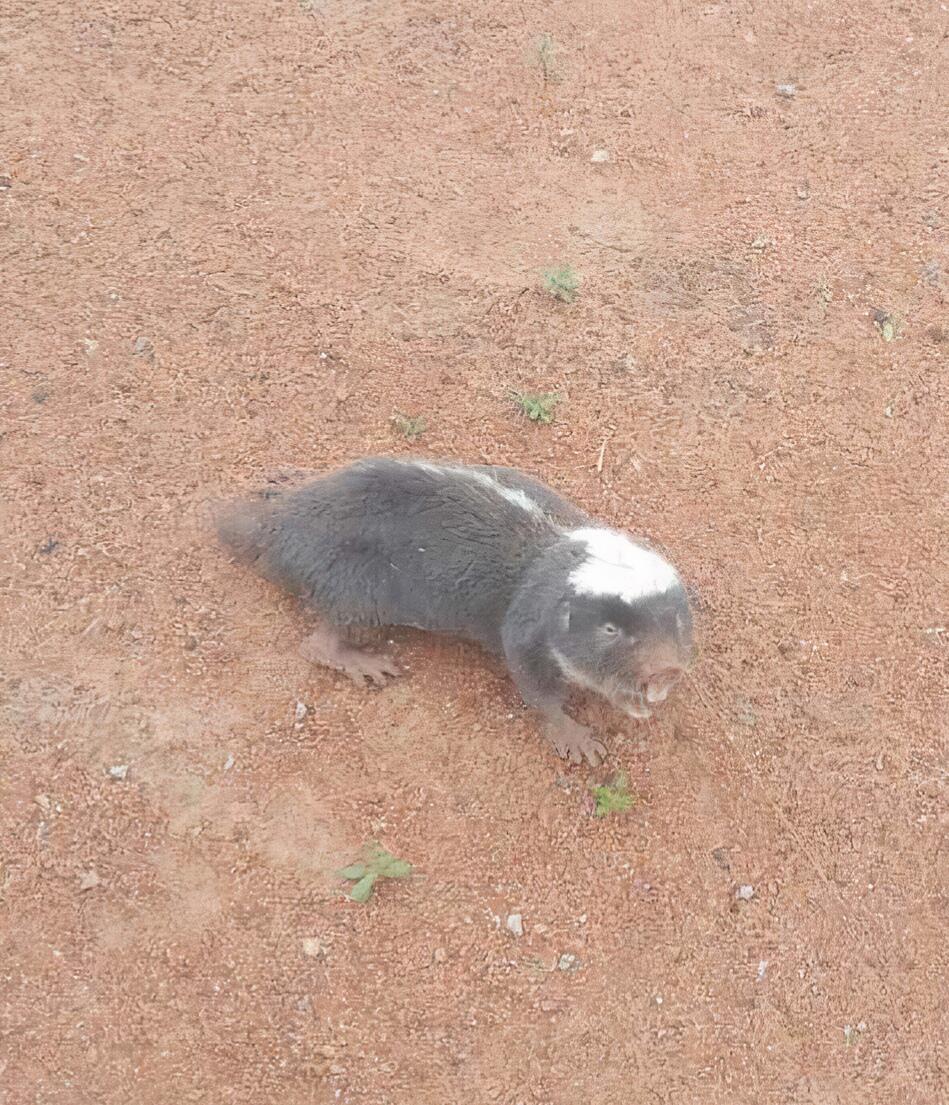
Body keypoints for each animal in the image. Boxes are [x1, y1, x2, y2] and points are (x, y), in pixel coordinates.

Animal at [217, 457, 694, 766]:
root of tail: (278, 527)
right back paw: (355, 658)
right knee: (320, 640)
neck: (554, 553)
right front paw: (572, 734)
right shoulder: (524, 627)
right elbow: (535, 687)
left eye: (675, 620)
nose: (667, 670)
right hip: (356, 588)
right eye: (610, 630)